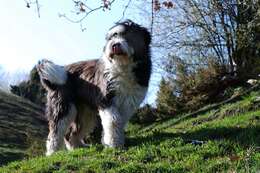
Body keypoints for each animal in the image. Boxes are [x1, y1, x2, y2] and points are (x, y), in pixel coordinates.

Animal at [36, 19, 150, 155]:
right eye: (112, 37)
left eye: (127, 35)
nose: (114, 45)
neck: (123, 67)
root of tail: (64, 70)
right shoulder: (106, 99)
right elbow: (113, 121)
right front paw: (113, 144)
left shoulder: (128, 104)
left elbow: (119, 122)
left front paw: (114, 142)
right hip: (63, 107)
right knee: (56, 130)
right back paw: (53, 152)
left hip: (85, 112)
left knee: (71, 133)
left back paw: (77, 147)